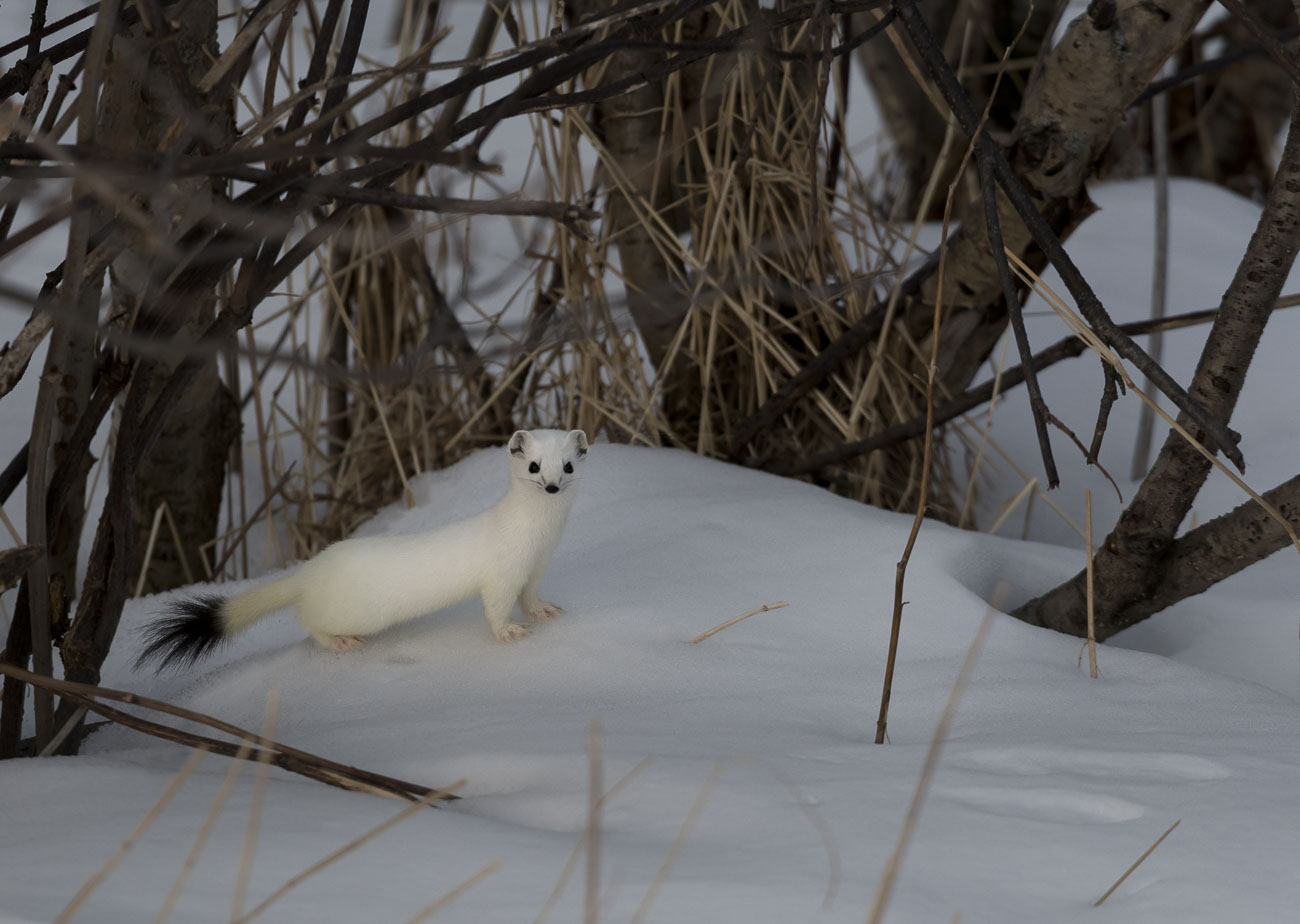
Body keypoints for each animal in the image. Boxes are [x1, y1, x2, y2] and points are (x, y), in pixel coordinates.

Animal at [137, 428, 590, 670]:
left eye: (568, 465)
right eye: (533, 466)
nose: (552, 486)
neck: (539, 538)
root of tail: (309, 571)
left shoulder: (535, 567)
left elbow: (531, 596)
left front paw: (544, 611)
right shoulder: (501, 573)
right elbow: (495, 607)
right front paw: (510, 632)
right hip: (347, 613)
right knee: (310, 623)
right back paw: (341, 642)